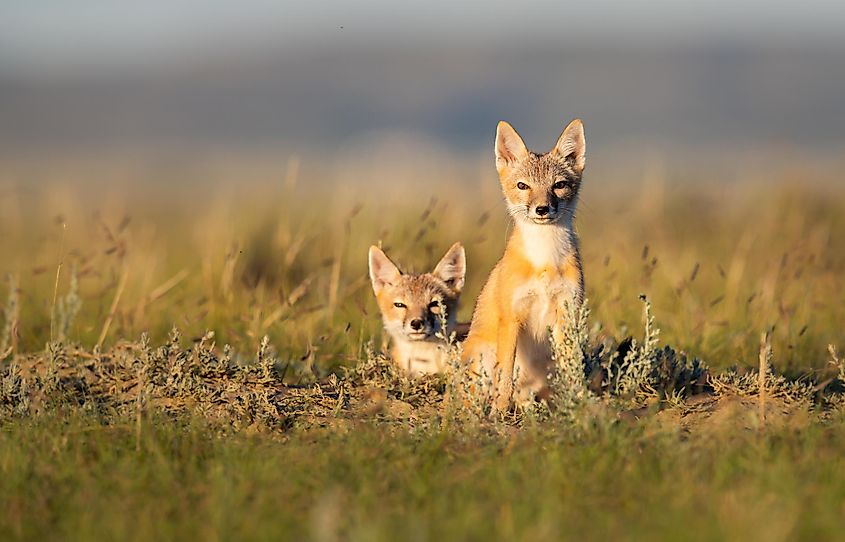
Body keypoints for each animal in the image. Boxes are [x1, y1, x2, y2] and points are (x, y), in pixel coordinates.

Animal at [462, 119, 588, 412]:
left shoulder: (566, 312)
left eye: (559, 185)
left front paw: (579, 403)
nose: (542, 209)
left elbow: (572, 370)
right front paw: (499, 410)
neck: (545, 260)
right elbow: (505, 376)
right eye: (523, 186)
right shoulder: (512, 316)